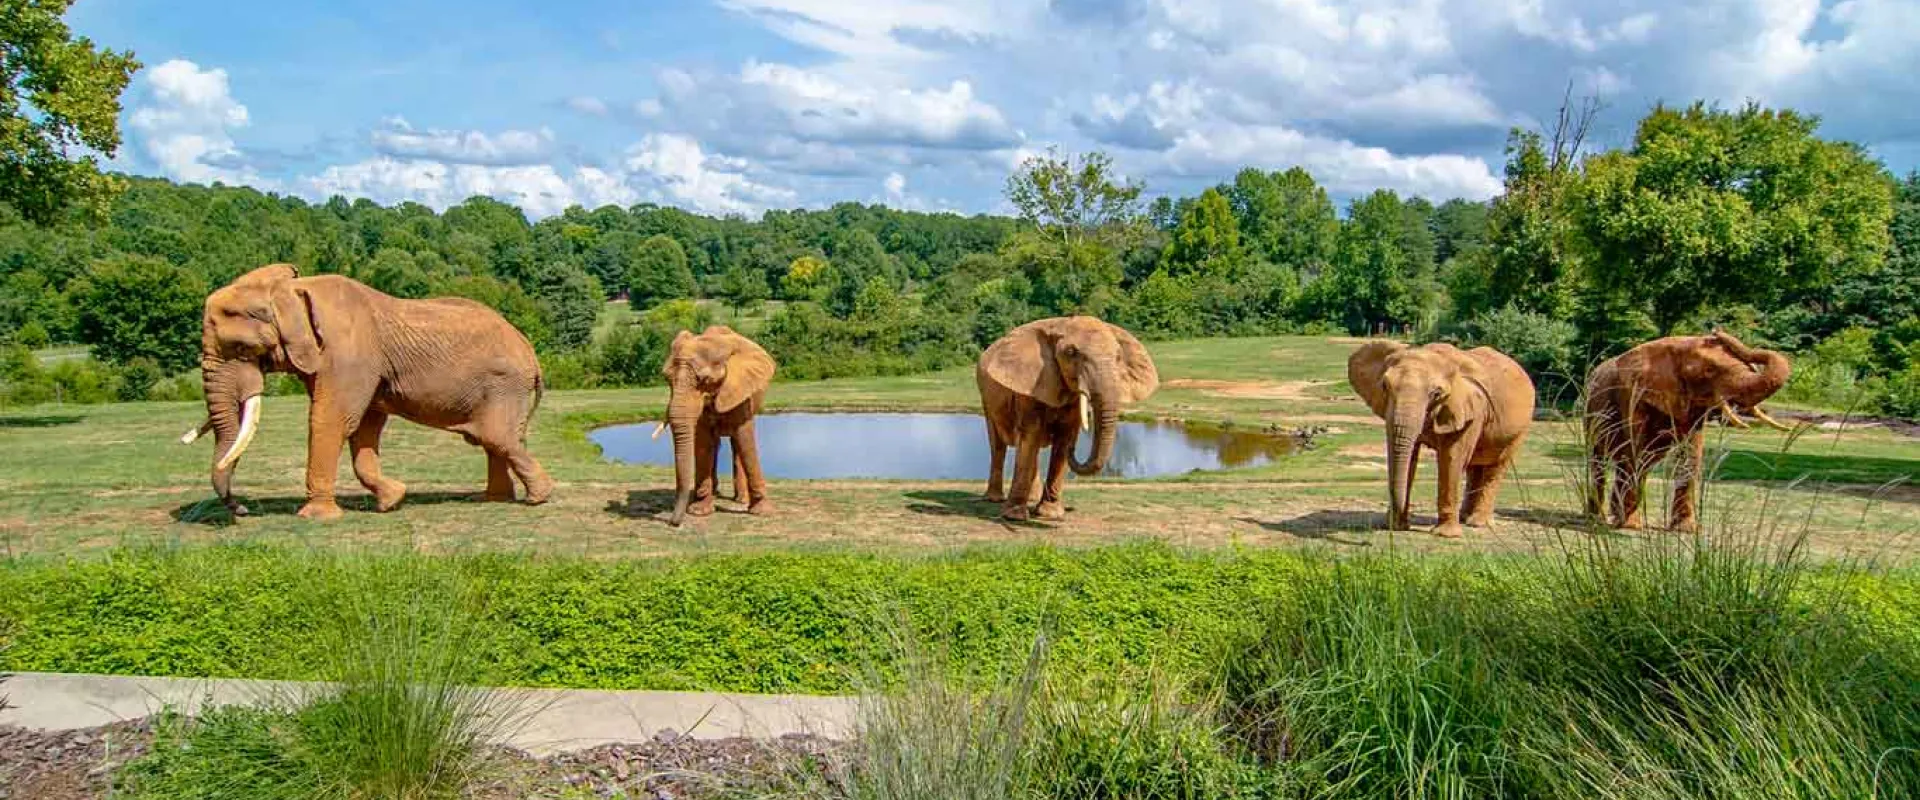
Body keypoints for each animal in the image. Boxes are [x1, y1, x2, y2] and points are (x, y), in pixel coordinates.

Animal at [183, 263, 552, 520]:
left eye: (240, 348)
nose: (241, 509)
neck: (293, 289)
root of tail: (529, 349)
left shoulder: (347, 356)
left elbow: (331, 420)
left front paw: (316, 517)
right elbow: (364, 428)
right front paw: (392, 501)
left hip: (504, 385)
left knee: (497, 437)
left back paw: (537, 499)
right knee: (496, 441)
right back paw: (494, 500)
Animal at [658, 325, 777, 527]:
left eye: (705, 380)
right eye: (667, 378)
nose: (673, 522)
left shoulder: (740, 388)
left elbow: (744, 438)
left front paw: (762, 512)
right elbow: (703, 441)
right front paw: (699, 511)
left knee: (737, 445)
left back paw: (740, 500)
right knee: (715, 445)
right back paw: (713, 493)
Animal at [976, 316, 1159, 521]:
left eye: (1119, 357)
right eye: (1071, 352)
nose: (1074, 449)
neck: (1059, 324)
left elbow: (1064, 437)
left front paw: (1050, 514)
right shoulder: (1029, 386)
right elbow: (1030, 435)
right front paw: (1014, 516)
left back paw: (1032, 498)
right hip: (985, 397)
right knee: (998, 445)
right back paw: (994, 499)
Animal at [1348, 341, 1537, 538]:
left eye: (1436, 394)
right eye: (1384, 386)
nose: (1394, 523)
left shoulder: (1471, 409)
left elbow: (1451, 458)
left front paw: (1446, 535)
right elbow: (1409, 456)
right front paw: (1397, 526)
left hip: (1520, 429)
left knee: (1496, 466)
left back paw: (1478, 523)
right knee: (1475, 466)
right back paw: (1465, 517)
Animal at [1584, 330, 1792, 532]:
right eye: (1709, 370)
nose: (1716, 332)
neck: (1678, 345)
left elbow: (1690, 456)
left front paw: (1686, 530)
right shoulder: (1632, 395)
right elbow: (1635, 451)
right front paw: (1629, 525)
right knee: (1601, 460)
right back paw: (1598, 518)